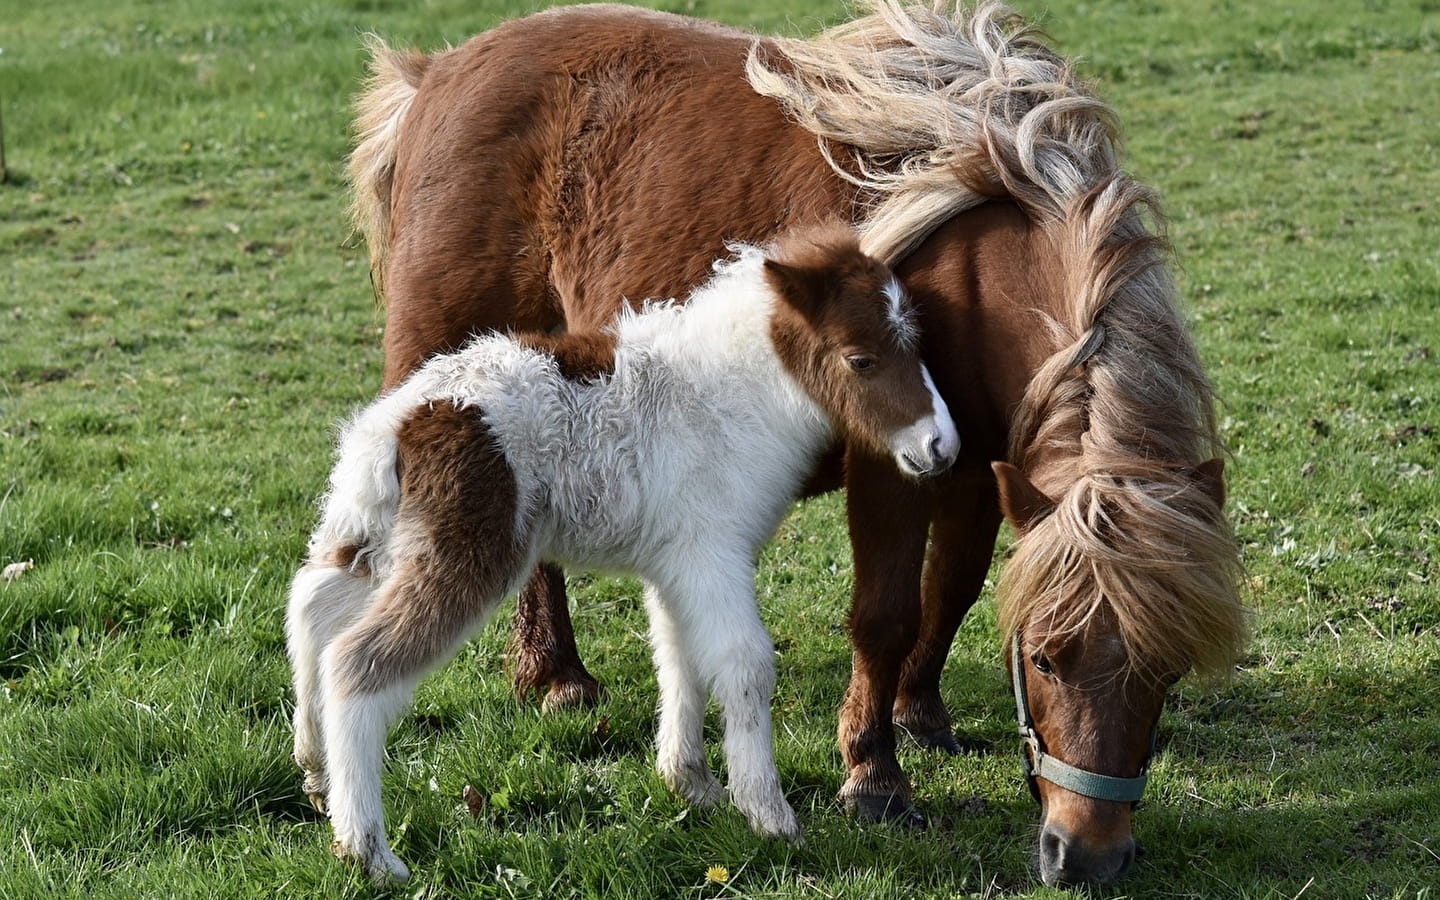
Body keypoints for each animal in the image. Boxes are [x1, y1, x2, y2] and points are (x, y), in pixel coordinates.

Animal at [286, 227, 961, 881]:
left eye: (917, 344)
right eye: (861, 359)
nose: (942, 447)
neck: (729, 396)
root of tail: (395, 426)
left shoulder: (676, 566)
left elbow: (679, 657)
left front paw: (693, 786)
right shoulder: (713, 553)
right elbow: (744, 664)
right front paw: (768, 814)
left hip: (370, 533)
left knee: (312, 607)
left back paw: (317, 775)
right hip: (470, 552)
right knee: (357, 663)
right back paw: (369, 851)